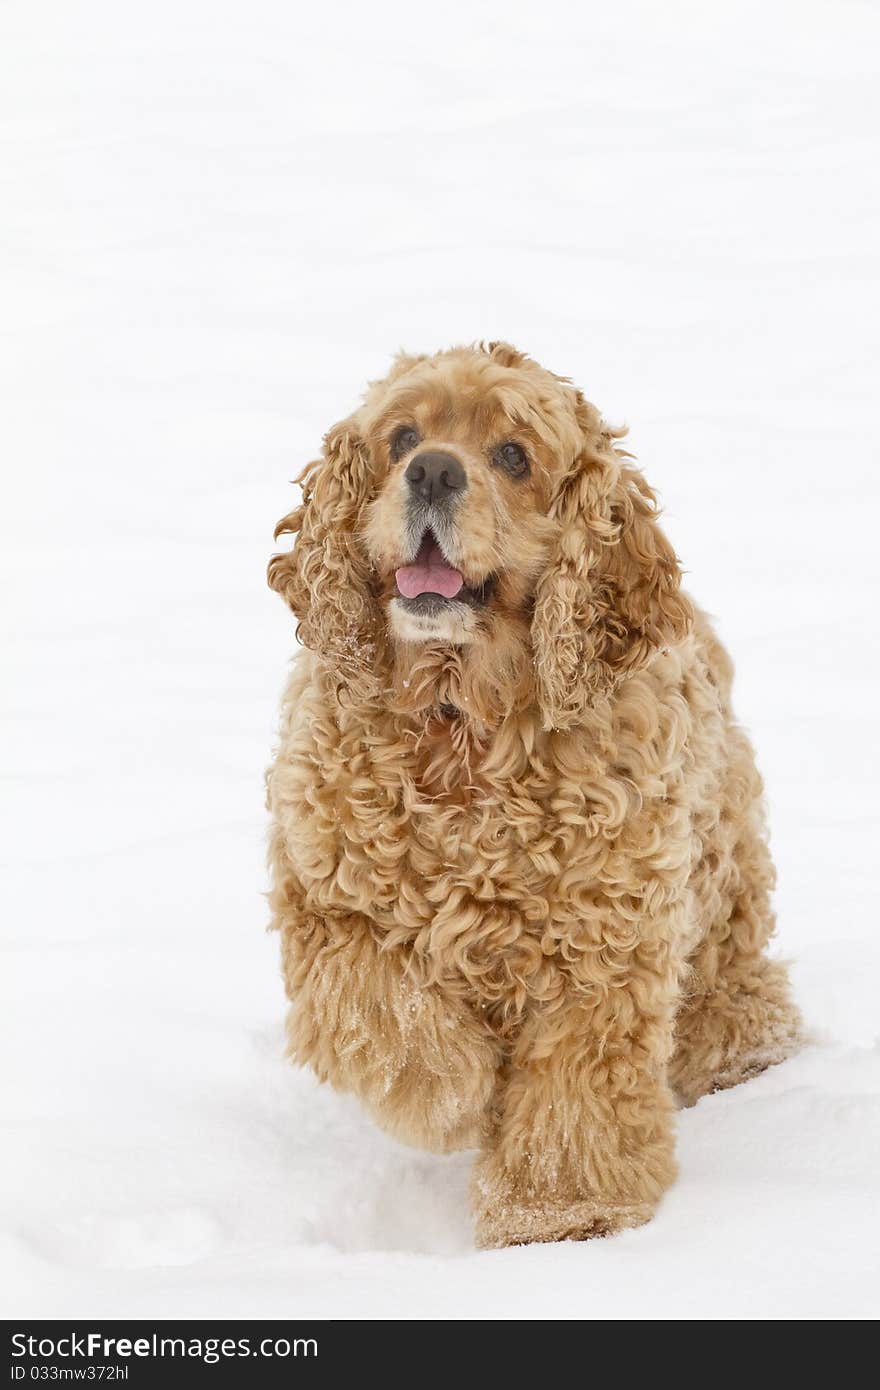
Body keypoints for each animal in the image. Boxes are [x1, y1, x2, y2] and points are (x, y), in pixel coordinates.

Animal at [264, 339, 800, 1251]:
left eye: (514, 455)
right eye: (402, 438)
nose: (433, 471)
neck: (459, 725)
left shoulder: (605, 949)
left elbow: (574, 1094)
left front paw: (558, 1217)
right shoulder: (327, 900)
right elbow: (386, 1009)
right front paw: (449, 1097)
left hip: (722, 889)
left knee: (738, 990)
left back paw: (744, 1057)